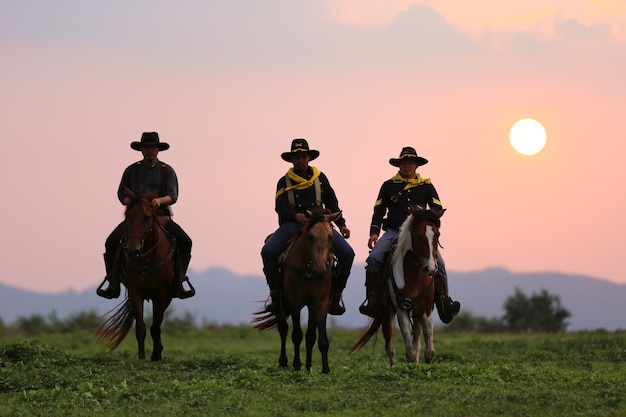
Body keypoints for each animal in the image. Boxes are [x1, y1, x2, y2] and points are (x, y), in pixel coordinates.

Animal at [97, 188, 176, 360]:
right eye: (128, 216)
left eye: (147, 217)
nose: (133, 250)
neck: (147, 257)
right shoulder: (135, 291)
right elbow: (140, 327)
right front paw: (142, 357)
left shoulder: (161, 293)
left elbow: (156, 326)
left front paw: (156, 357)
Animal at [252, 206, 342, 372]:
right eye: (310, 237)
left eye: (330, 237)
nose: (320, 271)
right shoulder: (294, 302)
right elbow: (297, 334)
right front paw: (297, 365)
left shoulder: (320, 302)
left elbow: (318, 337)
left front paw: (324, 369)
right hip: (280, 303)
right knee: (283, 328)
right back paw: (283, 361)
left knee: (309, 336)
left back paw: (308, 365)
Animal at [346, 205, 444, 364]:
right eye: (418, 235)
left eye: (437, 235)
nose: (430, 268)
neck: (415, 276)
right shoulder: (400, 308)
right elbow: (409, 351)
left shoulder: (426, 309)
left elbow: (428, 351)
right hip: (386, 313)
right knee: (390, 347)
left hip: (416, 314)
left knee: (417, 343)